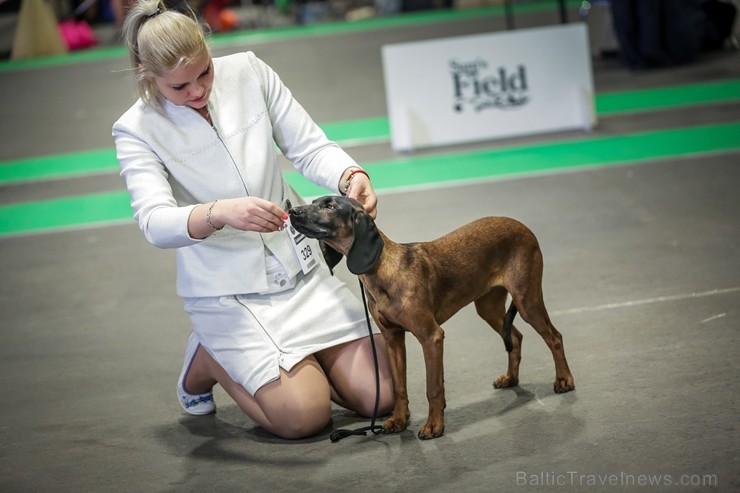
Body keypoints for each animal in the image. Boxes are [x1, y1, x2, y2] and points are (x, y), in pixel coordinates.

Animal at [288, 195, 572, 438]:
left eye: (329, 206)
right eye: (313, 201)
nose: (292, 211)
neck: (383, 269)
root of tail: (522, 226)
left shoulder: (431, 337)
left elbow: (433, 387)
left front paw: (434, 425)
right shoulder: (393, 339)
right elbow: (399, 386)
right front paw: (398, 420)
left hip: (527, 301)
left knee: (554, 336)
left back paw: (564, 380)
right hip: (488, 307)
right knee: (516, 336)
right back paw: (511, 378)